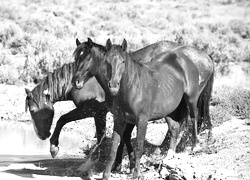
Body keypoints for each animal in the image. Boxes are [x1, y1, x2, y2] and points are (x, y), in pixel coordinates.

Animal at [71, 38, 214, 179]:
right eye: (107, 61)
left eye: (88, 58)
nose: (75, 81)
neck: (133, 88)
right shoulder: (120, 120)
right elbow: (114, 147)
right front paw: (109, 173)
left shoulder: (141, 120)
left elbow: (138, 147)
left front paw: (133, 172)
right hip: (168, 109)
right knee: (174, 128)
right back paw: (169, 157)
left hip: (191, 99)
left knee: (194, 116)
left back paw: (195, 146)